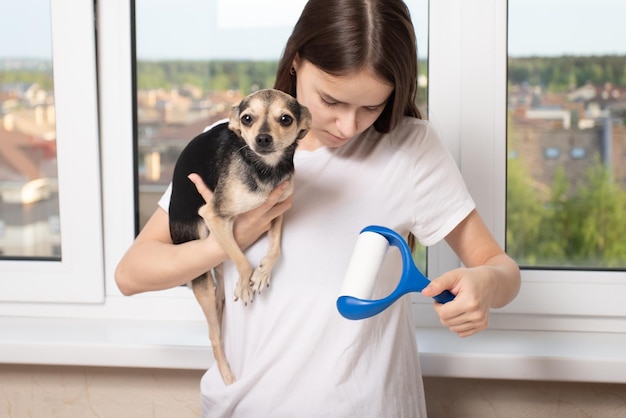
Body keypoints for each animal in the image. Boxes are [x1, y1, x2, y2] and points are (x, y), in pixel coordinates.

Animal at [168, 89, 310, 386]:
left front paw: (263, 272)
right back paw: (226, 374)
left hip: (217, 276)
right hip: (200, 270)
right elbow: (243, 261)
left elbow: (275, 247)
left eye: (286, 119)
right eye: (247, 118)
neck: (265, 169)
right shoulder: (215, 216)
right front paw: (246, 283)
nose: (263, 138)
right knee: (213, 333)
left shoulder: (277, 210)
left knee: (220, 299)